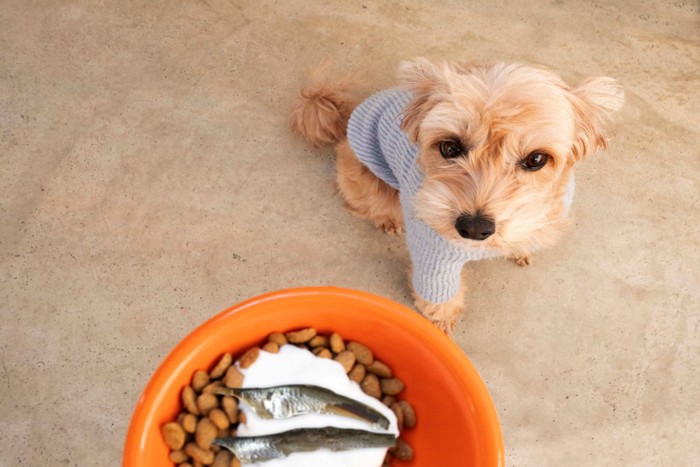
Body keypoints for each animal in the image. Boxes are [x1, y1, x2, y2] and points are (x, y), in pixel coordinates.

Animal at [290, 58, 624, 332]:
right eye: (449, 147)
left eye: (537, 159)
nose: (474, 228)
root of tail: (347, 117)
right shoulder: (434, 251)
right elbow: (437, 294)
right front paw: (442, 318)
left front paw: (519, 247)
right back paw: (387, 219)